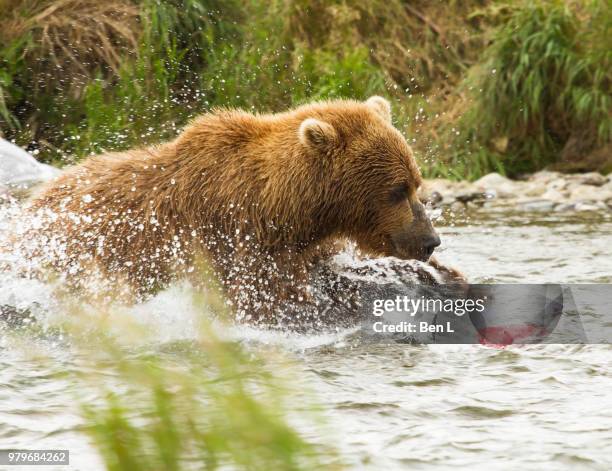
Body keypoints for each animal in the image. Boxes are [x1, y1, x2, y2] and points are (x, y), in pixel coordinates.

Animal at [26, 96, 440, 318]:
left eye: (417, 184)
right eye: (397, 190)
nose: (431, 241)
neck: (282, 208)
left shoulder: (306, 243)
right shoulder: (229, 237)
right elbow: (268, 299)